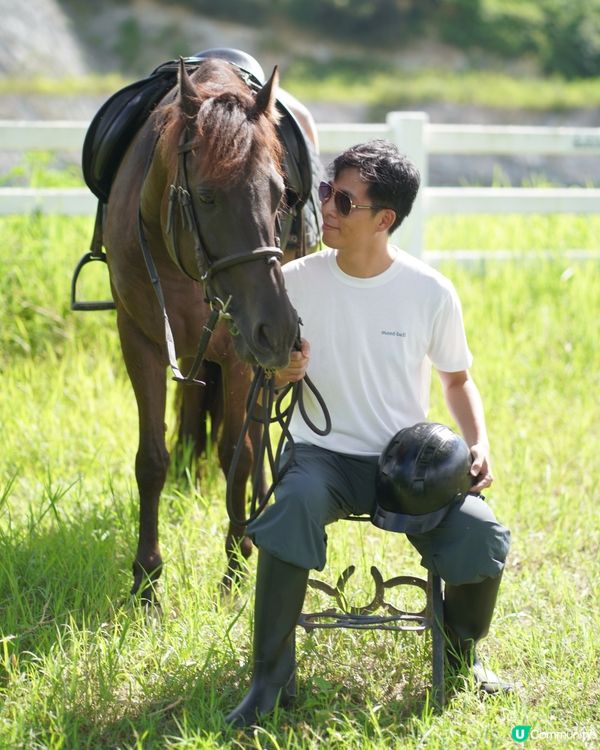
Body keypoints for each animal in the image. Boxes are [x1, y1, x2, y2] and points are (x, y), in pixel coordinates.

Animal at [103, 57, 302, 603]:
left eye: (279, 194)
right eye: (208, 196)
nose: (279, 329)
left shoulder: (239, 354)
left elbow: (239, 453)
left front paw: (234, 571)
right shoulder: (141, 341)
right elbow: (151, 459)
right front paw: (147, 579)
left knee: (257, 436)